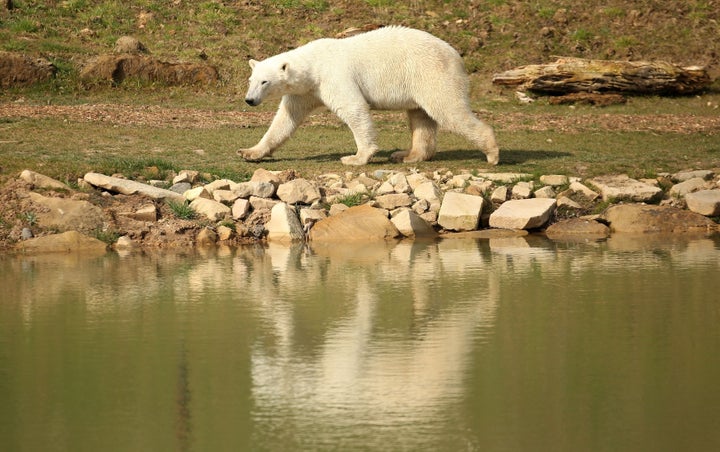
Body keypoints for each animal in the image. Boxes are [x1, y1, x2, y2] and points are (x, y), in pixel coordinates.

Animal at [239, 26, 498, 166]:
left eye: (265, 81)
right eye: (251, 80)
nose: (249, 100)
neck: (313, 65)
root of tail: (456, 55)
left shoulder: (334, 77)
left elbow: (353, 108)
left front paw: (356, 157)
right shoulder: (307, 90)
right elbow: (286, 119)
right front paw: (250, 152)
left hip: (432, 74)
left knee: (446, 109)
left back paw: (492, 153)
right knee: (420, 116)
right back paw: (407, 155)